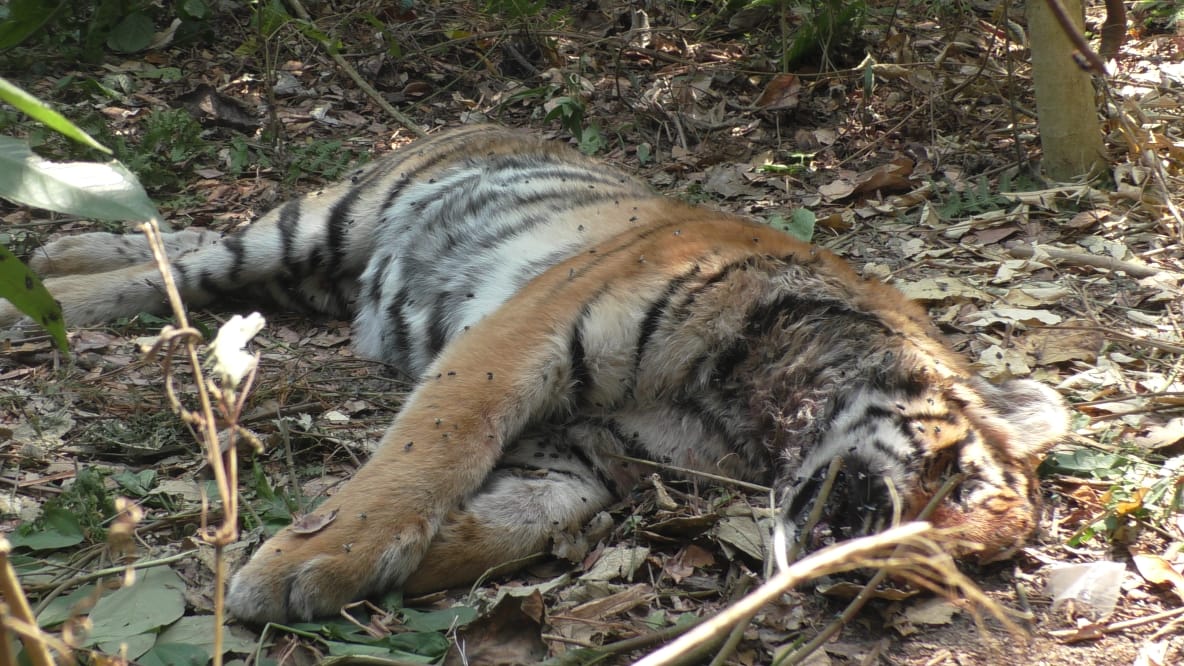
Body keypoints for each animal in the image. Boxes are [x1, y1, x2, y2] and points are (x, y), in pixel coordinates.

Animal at [0, 123, 1070, 620]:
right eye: (961, 484)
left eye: (975, 563)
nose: (888, 587)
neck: (746, 409)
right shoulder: (525, 334)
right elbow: (429, 453)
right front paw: (303, 562)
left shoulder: (590, 448)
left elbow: (524, 520)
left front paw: (389, 564)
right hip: (323, 222)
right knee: (184, 263)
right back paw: (40, 297)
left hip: (309, 274)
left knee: (177, 242)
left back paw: (59, 257)